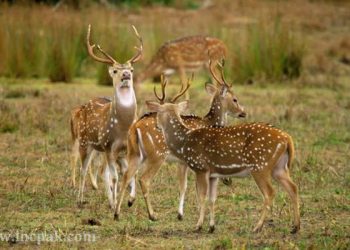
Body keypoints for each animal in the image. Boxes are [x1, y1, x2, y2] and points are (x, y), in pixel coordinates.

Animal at [69, 23, 142, 208]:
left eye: (131, 69)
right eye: (115, 70)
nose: (126, 75)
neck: (122, 128)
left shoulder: (127, 150)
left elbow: (130, 174)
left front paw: (129, 200)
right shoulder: (109, 147)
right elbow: (115, 177)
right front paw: (116, 203)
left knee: (103, 172)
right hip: (84, 141)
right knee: (84, 169)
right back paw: (80, 199)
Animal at [113, 60, 245, 221]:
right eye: (235, 99)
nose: (243, 113)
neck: (208, 122)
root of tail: (135, 126)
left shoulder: (182, 162)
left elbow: (183, 186)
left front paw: (181, 214)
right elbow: (195, 187)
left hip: (134, 153)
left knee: (126, 175)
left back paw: (118, 212)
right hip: (157, 155)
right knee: (144, 179)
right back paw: (152, 215)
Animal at [145, 78, 300, 234]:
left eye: (157, 113)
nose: (157, 126)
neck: (184, 141)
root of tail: (287, 138)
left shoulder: (201, 167)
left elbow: (202, 196)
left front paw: (198, 226)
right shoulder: (214, 174)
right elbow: (212, 198)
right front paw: (211, 226)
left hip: (260, 166)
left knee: (270, 193)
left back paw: (257, 227)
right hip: (279, 167)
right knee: (293, 187)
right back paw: (295, 227)